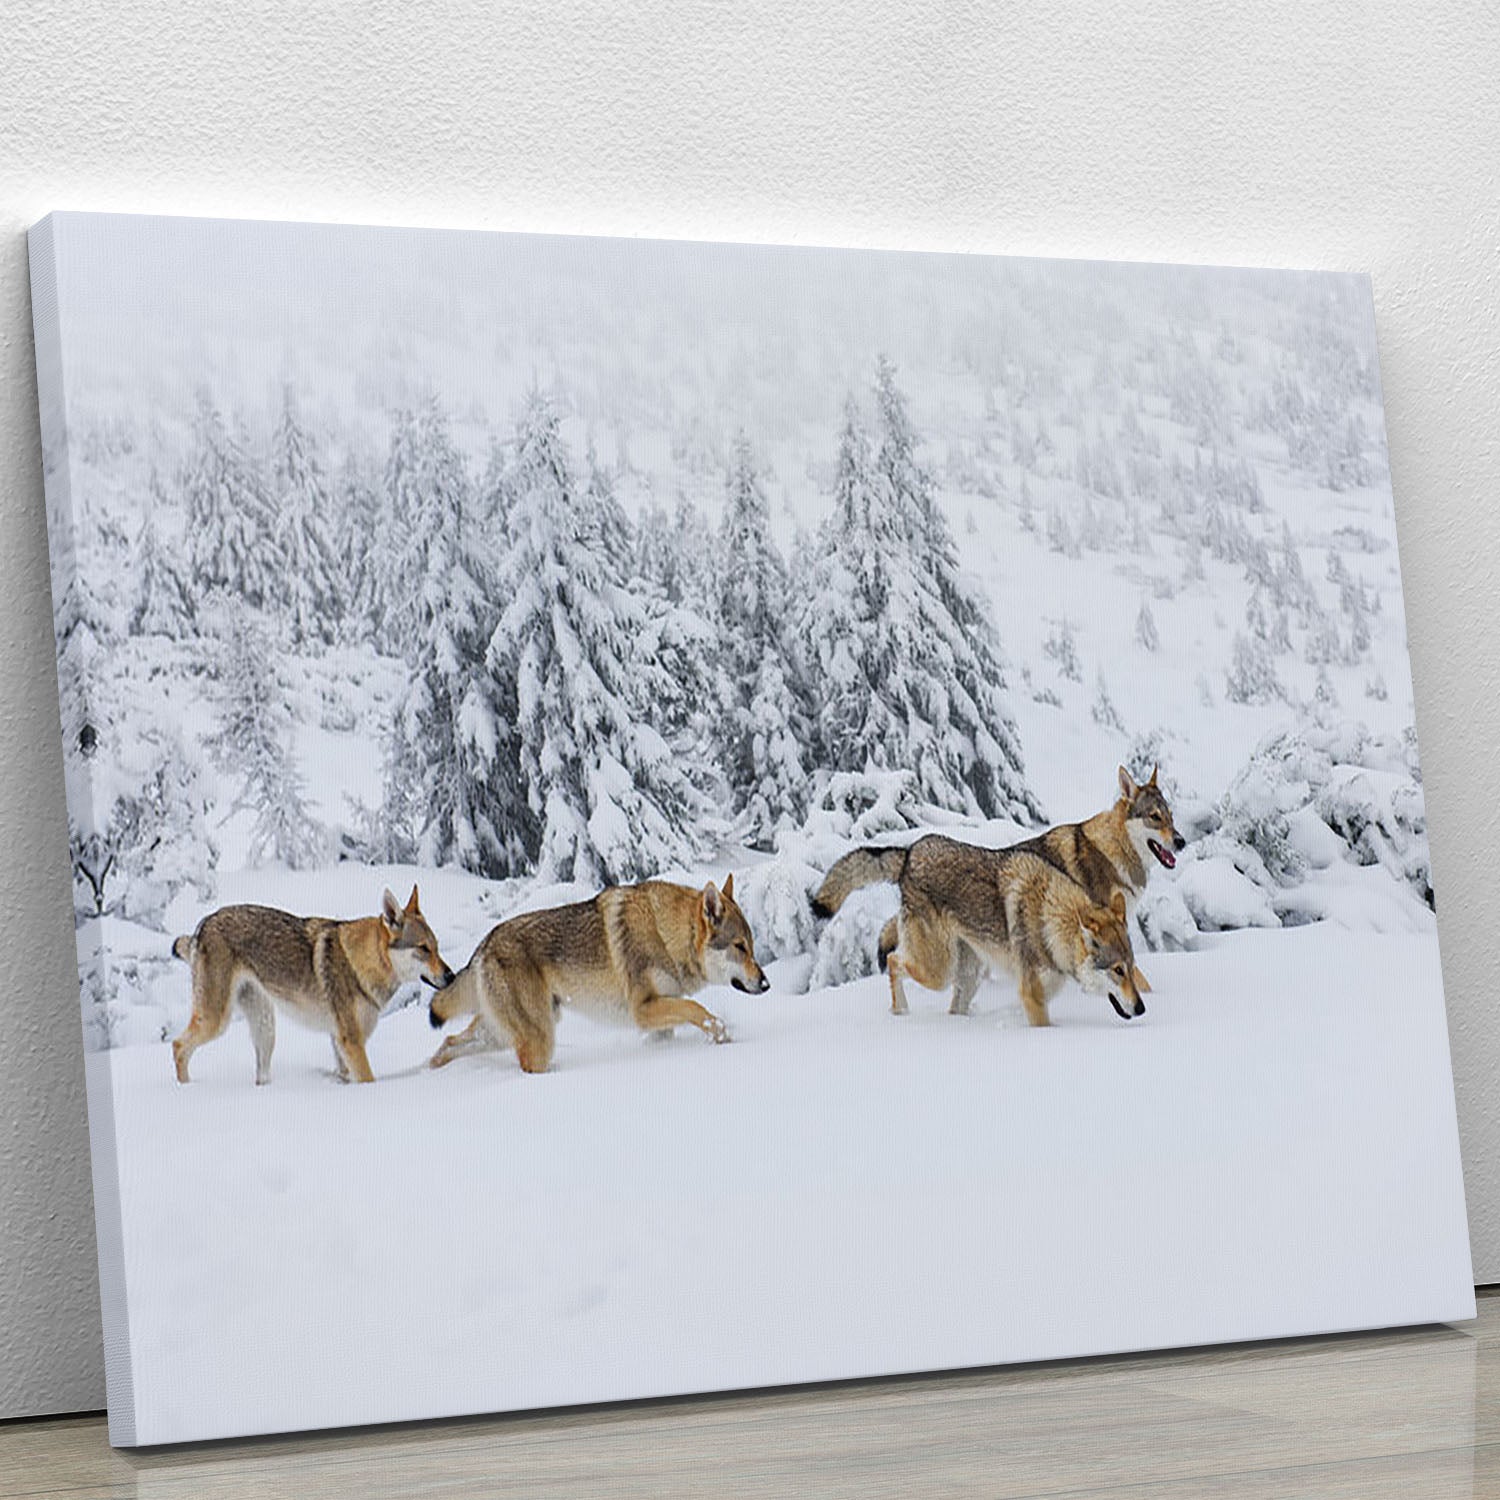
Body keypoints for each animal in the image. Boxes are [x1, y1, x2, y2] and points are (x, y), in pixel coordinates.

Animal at [170, 886, 456, 1085]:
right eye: (423, 949)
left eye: (437, 948)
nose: (452, 976)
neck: (360, 963)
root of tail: (203, 924)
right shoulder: (352, 1042)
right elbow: (368, 1080)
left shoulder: (339, 1044)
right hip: (217, 1021)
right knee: (178, 1046)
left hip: (265, 1029)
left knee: (260, 1075)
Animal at [427, 875, 770, 1073]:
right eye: (739, 947)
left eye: (752, 947)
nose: (766, 984)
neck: (666, 935)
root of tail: (483, 945)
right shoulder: (642, 1009)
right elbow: (697, 1008)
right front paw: (721, 1034)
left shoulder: (659, 1013)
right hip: (539, 1038)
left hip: (502, 1032)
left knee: (448, 1042)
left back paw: (430, 1069)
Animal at [811, 838, 1145, 1026]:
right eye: (1117, 970)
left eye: (1131, 968)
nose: (1142, 1008)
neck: (1050, 920)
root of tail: (909, 854)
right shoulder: (1032, 994)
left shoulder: (1040, 993)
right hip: (939, 972)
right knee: (893, 961)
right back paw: (901, 1013)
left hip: (967, 977)